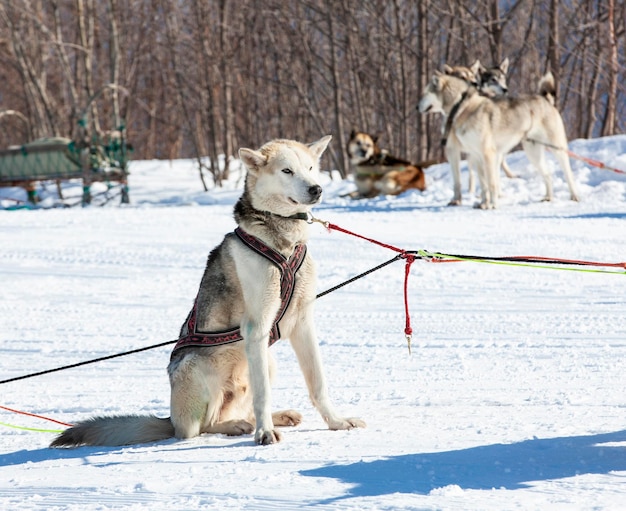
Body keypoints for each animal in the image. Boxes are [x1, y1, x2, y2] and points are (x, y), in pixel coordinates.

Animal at [53, 137, 366, 448]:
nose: (316, 189)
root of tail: (170, 420)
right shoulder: (257, 327)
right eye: (287, 171)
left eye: (311, 168)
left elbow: (318, 384)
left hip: (267, 361)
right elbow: (263, 395)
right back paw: (239, 426)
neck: (283, 243)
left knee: (241, 409)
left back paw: (276, 416)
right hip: (198, 371)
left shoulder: (303, 324)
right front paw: (264, 433)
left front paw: (336, 422)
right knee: (203, 427)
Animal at [416, 71, 576, 209]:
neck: (461, 107)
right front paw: (483, 204)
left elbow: (491, 183)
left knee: (568, 173)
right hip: (533, 154)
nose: (416, 107)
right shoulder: (475, 156)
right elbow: (483, 185)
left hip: (557, 148)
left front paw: (492, 205)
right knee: (548, 175)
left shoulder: (487, 155)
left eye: (425, 93)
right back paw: (548, 198)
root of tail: (545, 99)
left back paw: (574, 196)